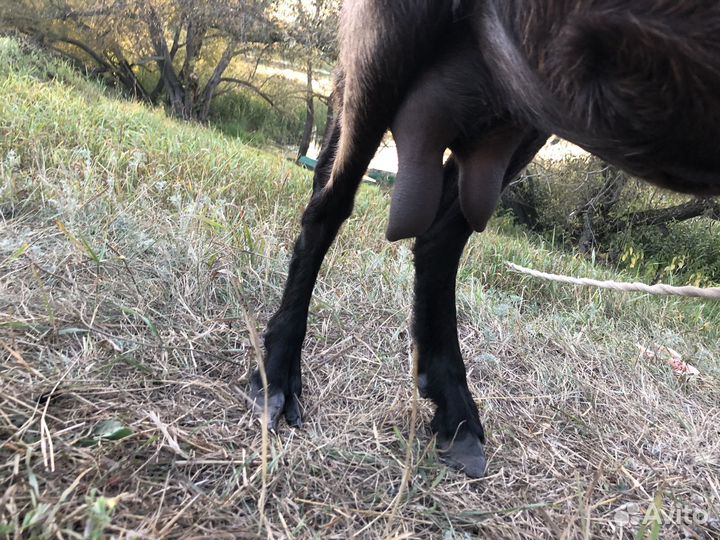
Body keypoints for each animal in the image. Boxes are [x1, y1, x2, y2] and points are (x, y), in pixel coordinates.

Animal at [251, 0, 720, 478]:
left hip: (523, 103)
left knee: (436, 234)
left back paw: (455, 412)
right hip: (389, 47)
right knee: (332, 203)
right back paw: (278, 373)